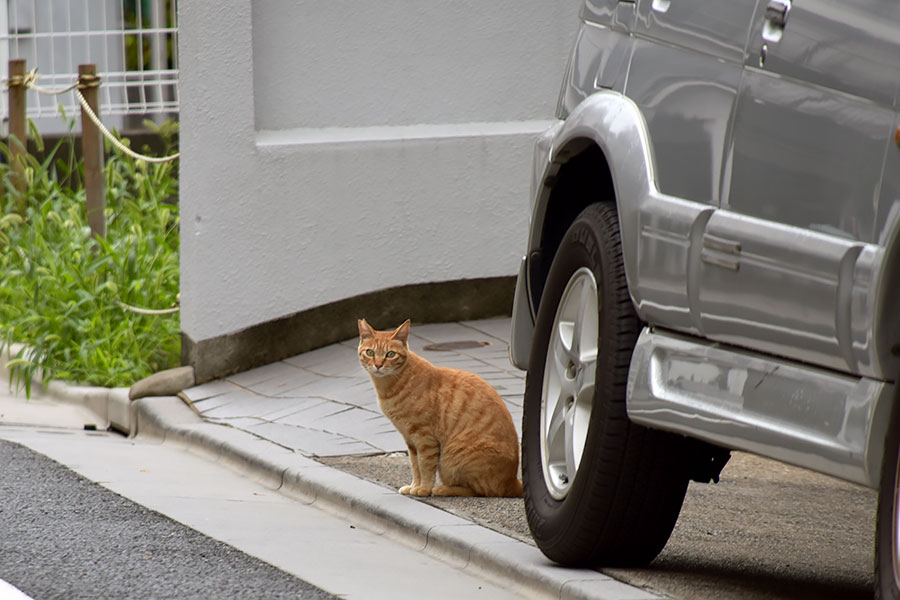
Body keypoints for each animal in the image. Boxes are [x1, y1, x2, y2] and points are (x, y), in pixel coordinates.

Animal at [356, 318, 524, 496]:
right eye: (370, 352)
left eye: (390, 354)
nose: (378, 365)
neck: (390, 385)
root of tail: (512, 481)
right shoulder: (410, 439)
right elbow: (415, 466)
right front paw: (414, 485)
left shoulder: (424, 438)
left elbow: (425, 465)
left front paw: (423, 488)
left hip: (452, 457)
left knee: (479, 491)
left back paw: (442, 489)